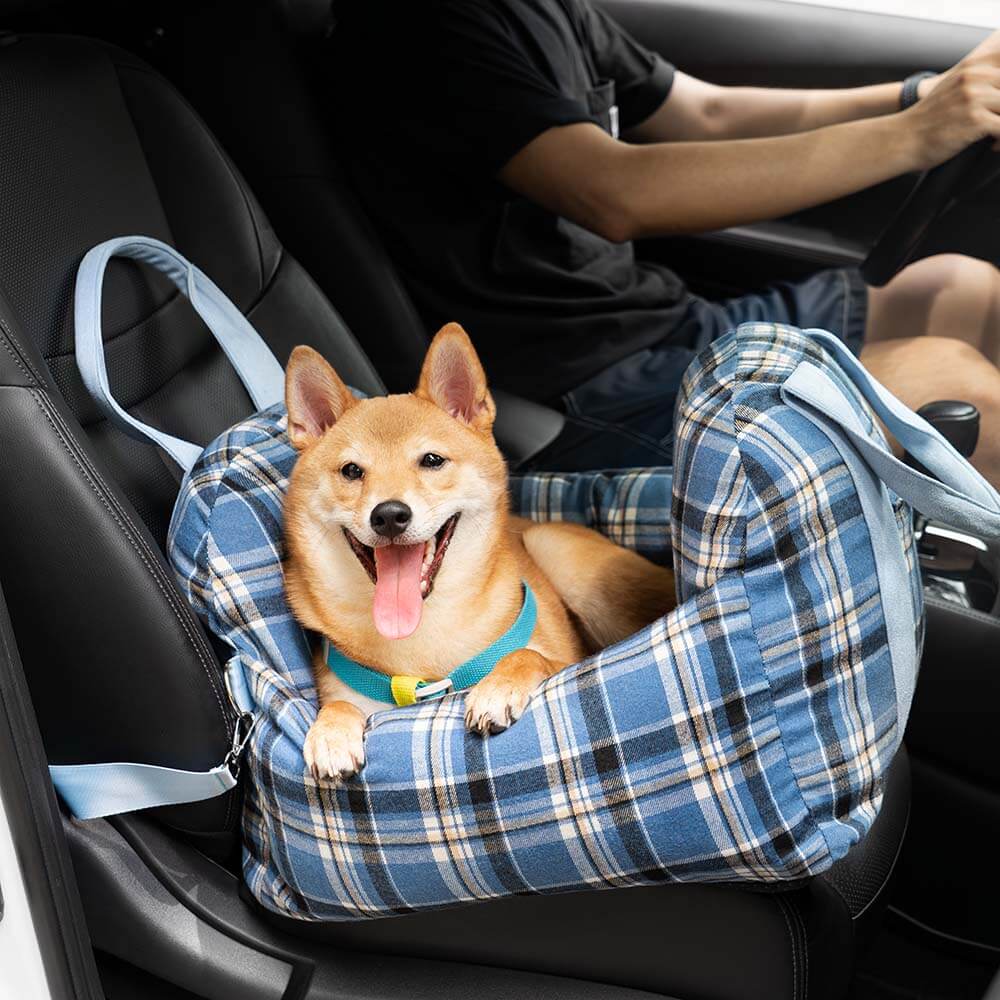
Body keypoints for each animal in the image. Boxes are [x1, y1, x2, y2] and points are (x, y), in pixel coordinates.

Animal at [282, 326, 676, 780]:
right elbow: (338, 704)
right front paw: (330, 731)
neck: (423, 646)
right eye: (351, 471)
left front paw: (498, 688)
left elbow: (529, 655)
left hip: (563, 559)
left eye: (432, 460)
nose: (389, 515)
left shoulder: (564, 660)